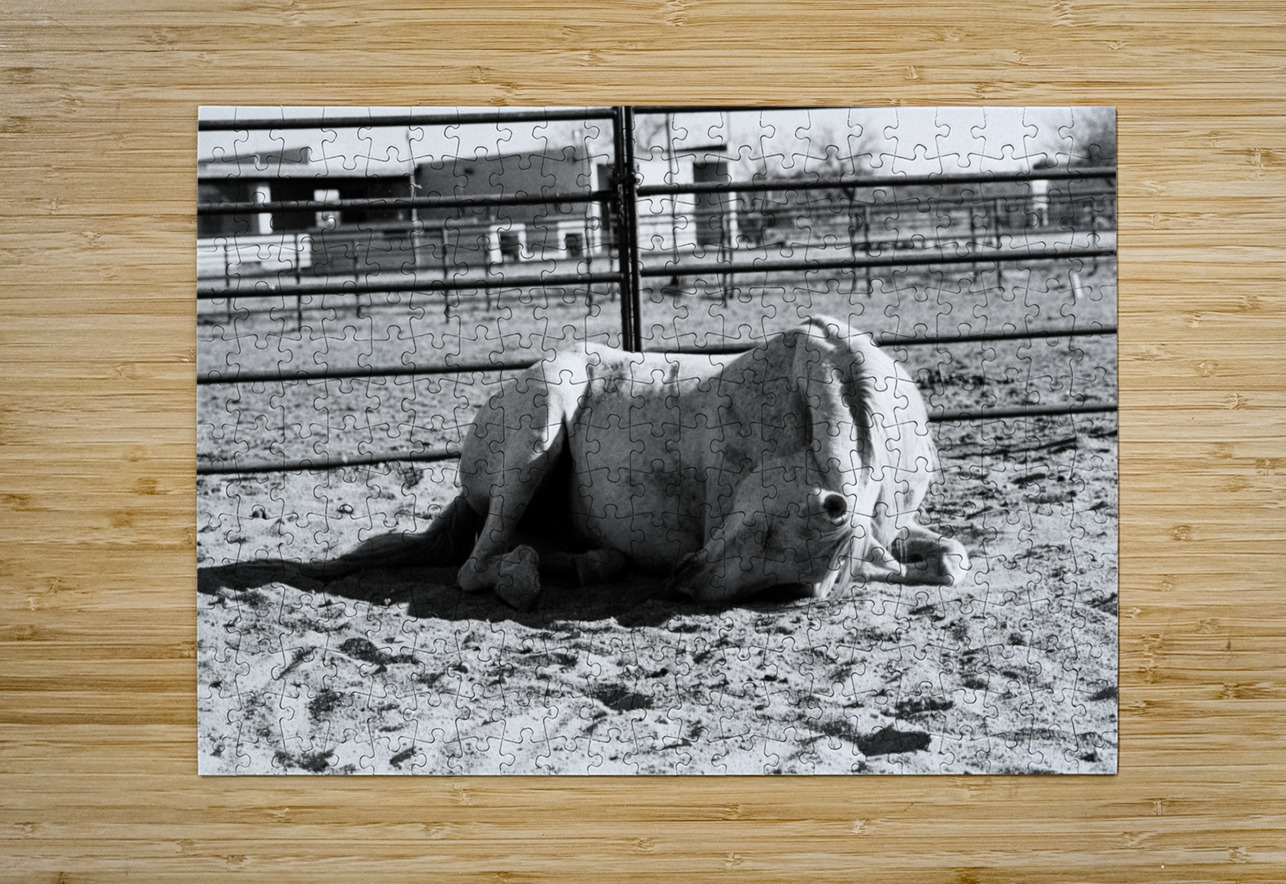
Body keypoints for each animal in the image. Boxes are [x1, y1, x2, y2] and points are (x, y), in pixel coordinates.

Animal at [304, 316, 969, 609]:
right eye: (760, 527)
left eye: (788, 587)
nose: (683, 583)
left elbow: (952, 559)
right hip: (538, 429)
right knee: (476, 566)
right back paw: (531, 579)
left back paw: (590, 564)